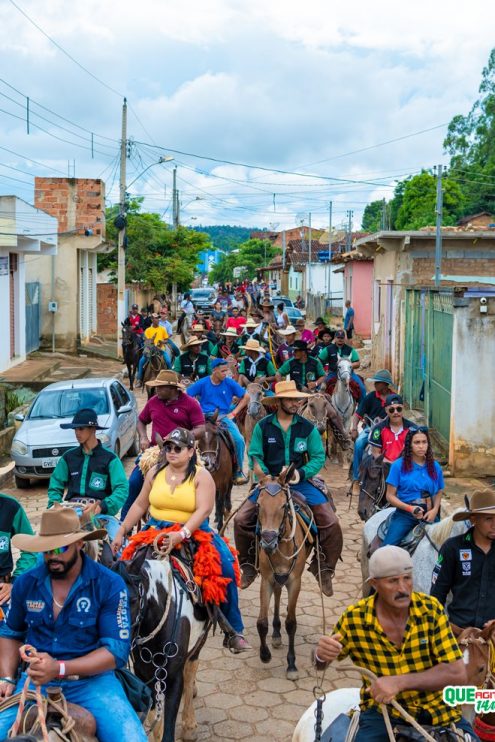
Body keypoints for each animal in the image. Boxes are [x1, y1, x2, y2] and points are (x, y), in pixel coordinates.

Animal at [115, 548, 210, 742]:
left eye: (133, 600)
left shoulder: (173, 677)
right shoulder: (142, 672)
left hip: (199, 642)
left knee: (190, 671)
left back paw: (189, 725)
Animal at [256, 468, 314, 684]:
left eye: (283, 505)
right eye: (258, 504)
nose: (268, 541)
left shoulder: (294, 582)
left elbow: (291, 623)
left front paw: (291, 665)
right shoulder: (266, 580)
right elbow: (261, 622)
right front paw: (265, 655)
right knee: (277, 594)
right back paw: (275, 633)